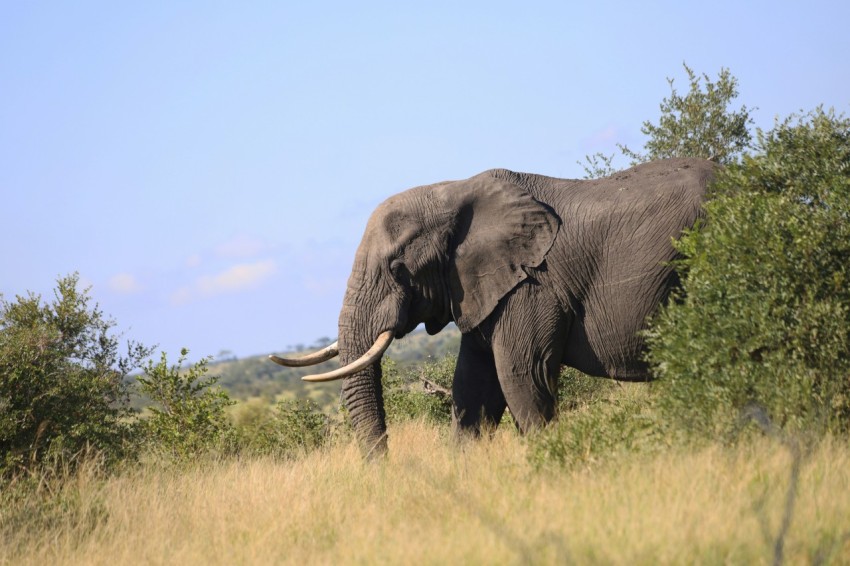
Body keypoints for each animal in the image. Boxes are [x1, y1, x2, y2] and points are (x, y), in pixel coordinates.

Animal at [272, 156, 716, 458]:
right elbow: (473, 387)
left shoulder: (533, 284)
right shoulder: (485, 288)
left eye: (398, 269)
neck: (453, 192)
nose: (384, 473)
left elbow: (521, 375)